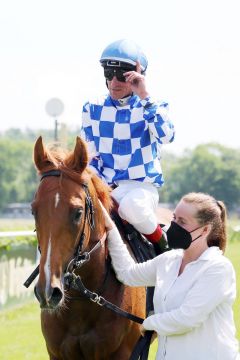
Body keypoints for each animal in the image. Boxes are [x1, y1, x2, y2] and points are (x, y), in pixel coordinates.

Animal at [31, 136, 172, 360]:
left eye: (78, 212)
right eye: (33, 210)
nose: (47, 291)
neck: (81, 301)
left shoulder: (124, 352)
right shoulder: (56, 353)